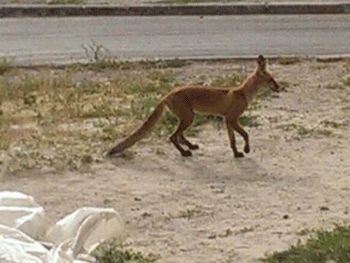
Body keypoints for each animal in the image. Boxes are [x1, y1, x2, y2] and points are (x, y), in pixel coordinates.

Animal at [108, 55, 280, 159]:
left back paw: (190, 146)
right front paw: (245, 150)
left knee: (179, 135)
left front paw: (236, 153)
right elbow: (246, 135)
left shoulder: (227, 120)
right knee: (173, 136)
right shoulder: (232, 119)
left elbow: (232, 141)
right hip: (188, 118)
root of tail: (168, 94)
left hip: (188, 117)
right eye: (271, 80)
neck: (243, 93)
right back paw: (184, 152)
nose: (280, 87)